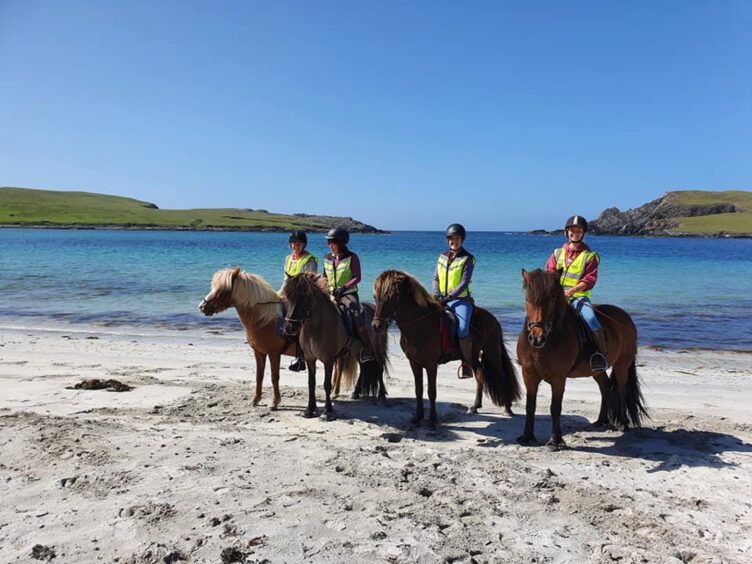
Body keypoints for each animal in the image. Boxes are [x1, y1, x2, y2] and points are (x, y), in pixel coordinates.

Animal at [198, 268, 296, 410]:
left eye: (223, 290)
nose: (202, 306)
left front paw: (274, 402)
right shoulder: (259, 352)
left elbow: (274, 377)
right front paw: (256, 399)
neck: (266, 320)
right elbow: (259, 376)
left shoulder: (274, 353)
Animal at [282, 274, 388, 418]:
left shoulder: (328, 360)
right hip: (357, 351)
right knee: (363, 367)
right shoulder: (310, 359)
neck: (316, 327)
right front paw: (310, 409)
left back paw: (382, 395)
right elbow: (311, 383)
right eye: (288, 296)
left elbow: (327, 384)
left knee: (380, 366)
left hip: (377, 348)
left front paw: (328, 411)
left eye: (305, 297)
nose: (289, 327)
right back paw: (355, 393)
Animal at [372, 270, 524, 426]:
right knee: (480, 375)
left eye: (392, 297)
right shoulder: (414, 363)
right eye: (375, 296)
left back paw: (507, 408)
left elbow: (431, 392)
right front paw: (418, 418)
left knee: (501, 377)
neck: (419, 325)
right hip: (472, 356)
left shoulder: (431, 364)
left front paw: (432, 420)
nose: (376, 326)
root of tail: (493, 319)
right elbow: (418, 390)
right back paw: (475, 406)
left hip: (492, 351)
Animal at [516, 268, 648, 450]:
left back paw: (623, 423)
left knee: (621, 390)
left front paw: (555, 441)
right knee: (605, 388)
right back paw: (600, 421)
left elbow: (555, 407)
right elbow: (530, 406)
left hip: (622, 365)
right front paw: (527, 436)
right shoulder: (529, 374)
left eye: (552, 300)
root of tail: (625, 317)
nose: (537, 338)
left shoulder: (558, 378)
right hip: (597, 370)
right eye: (527, 299)